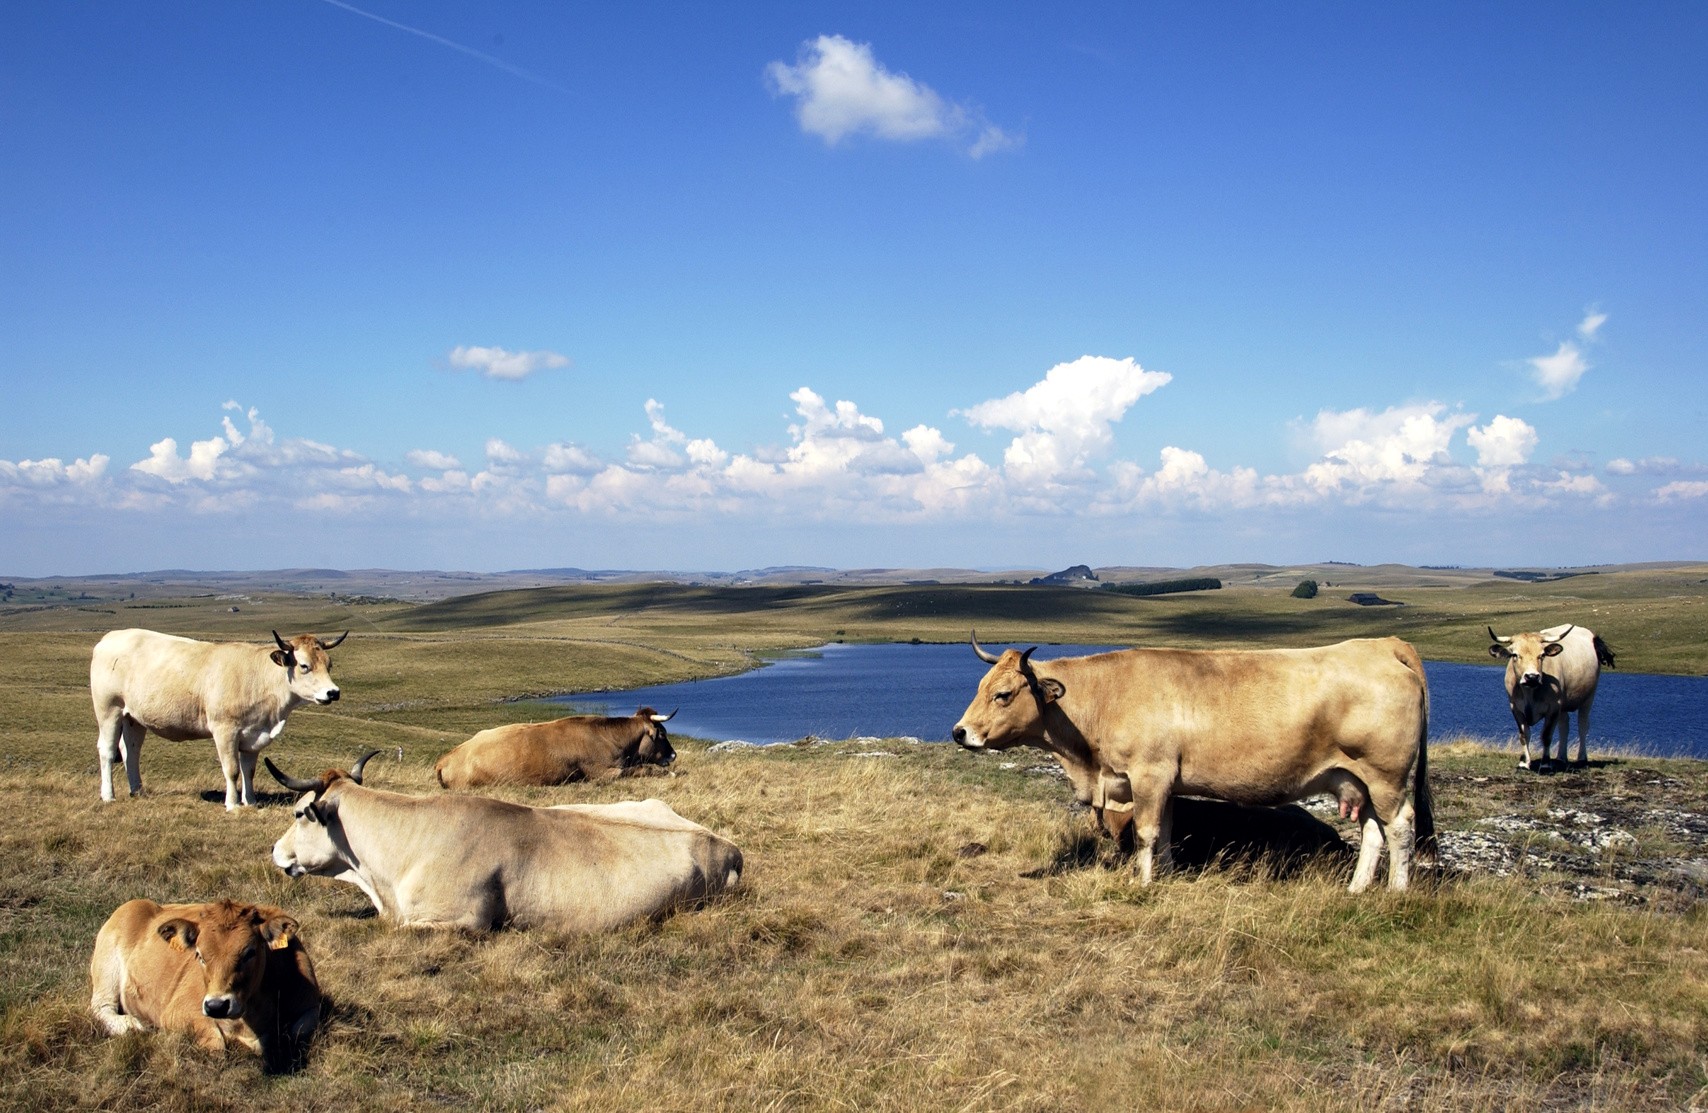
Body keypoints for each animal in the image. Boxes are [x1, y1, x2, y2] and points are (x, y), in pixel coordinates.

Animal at [89, 898, 321, 1072]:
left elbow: (295, 1031)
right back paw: (133, 1025)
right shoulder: (177, 1011)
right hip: (106, 968)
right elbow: (216, 1044)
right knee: (101, 1008)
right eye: (199, 954)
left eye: (250, 952)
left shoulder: (312, 1005)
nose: (217, 1006)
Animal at [91, 628, 346, 809]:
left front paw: (251, 802)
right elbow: (232, 769)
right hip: (109, 709)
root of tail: (109, 638)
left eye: (329, 665)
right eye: (304, 666)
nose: (333, 692)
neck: (259, 677)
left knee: (131, 751)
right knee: (107, 750)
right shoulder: (225, 731)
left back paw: (137, 790)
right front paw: (232, 803)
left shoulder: (254, 735)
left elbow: (249, 770)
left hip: (133, 717)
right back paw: (108, 795)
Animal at [952, 633, 1435, 893]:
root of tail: (1382, 645)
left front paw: (1143, 884)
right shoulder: (1164, 783)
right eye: (980, 686)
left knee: (1399, 827)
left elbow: (1146, 833)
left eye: (1004, 694)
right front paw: (1164, 876)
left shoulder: (1148, 775)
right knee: (1373, 830)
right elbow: (1165, 832)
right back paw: (1356, 888)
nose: (960, 732)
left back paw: (1395, 891)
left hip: (1386, 776)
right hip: (1359, 781)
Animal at [1487, 623, 1616, 770]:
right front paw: (1524, 763)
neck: (1530, 693)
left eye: (1542, 655)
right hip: (1563, 705)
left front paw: (1545, 764)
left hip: (1588, 698)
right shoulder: (1515, 707)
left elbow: (1546, 735)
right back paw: (1561, 758)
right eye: (1515, 654)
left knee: (1582, 725)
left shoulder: (1553, 708)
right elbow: (1524, 735)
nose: (1532, 677)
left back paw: (1582, 759)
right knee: (1564, 726)